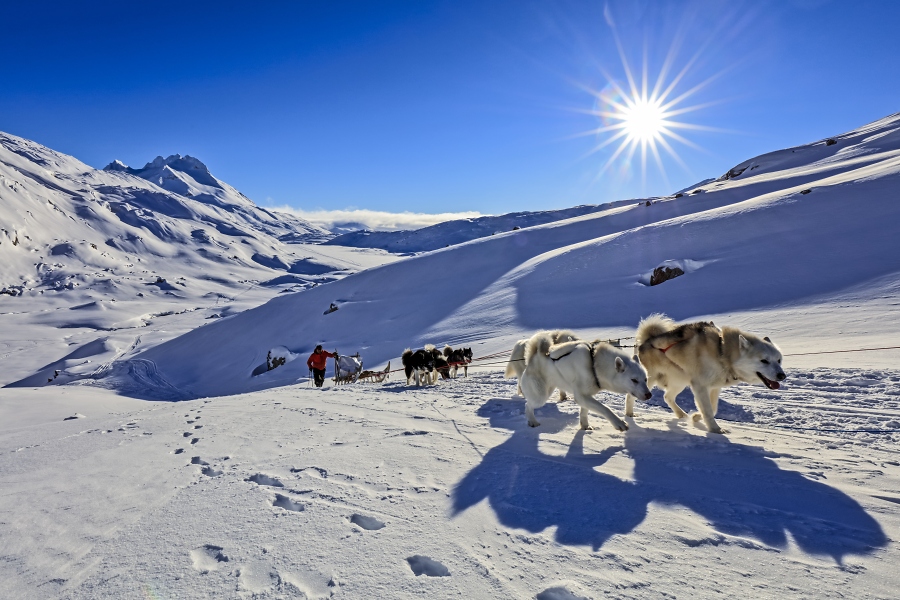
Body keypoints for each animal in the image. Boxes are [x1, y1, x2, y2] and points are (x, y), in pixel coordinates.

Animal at [516, 328, 652, 432]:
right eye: (634, 380)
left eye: (645, 379)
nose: (649, 395)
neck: (594, 364)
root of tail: (532, 359)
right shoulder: (581, 396)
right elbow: (605, 408)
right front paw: (619, 423)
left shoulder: (585, 396)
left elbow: (584, 412)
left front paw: (585, 426)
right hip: (540, 396)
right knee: (528, 405)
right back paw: (532, 421)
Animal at [624, 314, 788, 436]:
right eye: (764, 361)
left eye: (779, 360)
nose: (782, 375)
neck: (722, 351)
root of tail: (646, 341)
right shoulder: (700, 386)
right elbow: (708, 410)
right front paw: (715, 429)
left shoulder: (714, 387)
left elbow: (713, 408)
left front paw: (697, 416)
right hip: (648, 381)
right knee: (630, 396)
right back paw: (629, 414)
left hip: (680, 381)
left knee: (667, 397)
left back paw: (681, 415)